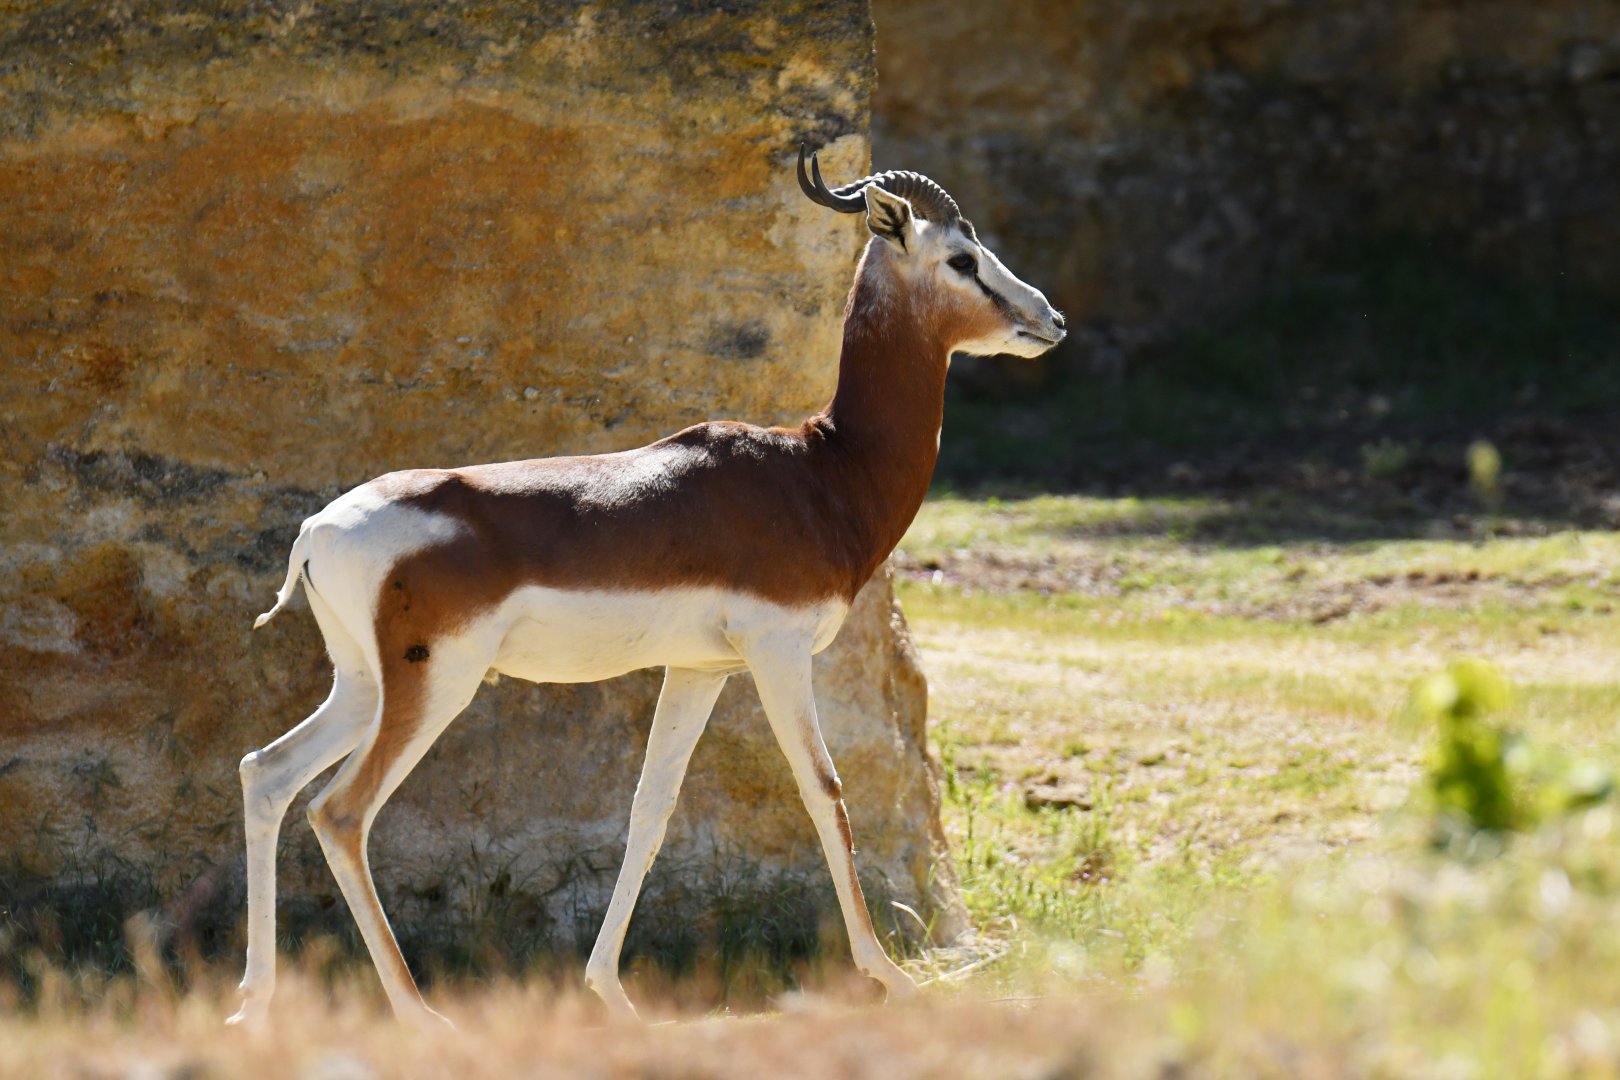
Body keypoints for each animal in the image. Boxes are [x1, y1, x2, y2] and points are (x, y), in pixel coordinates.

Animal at [229, 147, 1066, 1029]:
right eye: (962, 257)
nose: (1051, 319)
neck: (821, 469)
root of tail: (318, 529)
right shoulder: (778, 651)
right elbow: (826, 793)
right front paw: (892, 977)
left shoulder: (699, 669)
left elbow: (649, 809)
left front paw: (609, 990)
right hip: (436, 684)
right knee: (340, 811)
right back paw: (420, 1015)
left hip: (364, 685)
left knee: (267, 773)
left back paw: (255, 1002)